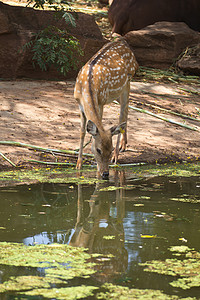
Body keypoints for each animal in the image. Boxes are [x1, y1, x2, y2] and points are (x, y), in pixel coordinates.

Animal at [74, 37, 138, 178]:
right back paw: (124, 145)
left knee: (122, 115)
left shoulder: (101, 102)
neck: (86, 89)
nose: (105, 173)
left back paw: (117, 155)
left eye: (110, 149)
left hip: (127, 84)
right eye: (98, 150)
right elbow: (82, 132)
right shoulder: (79, 105)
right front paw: (78, 164)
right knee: (126, 111)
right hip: (116, 94)